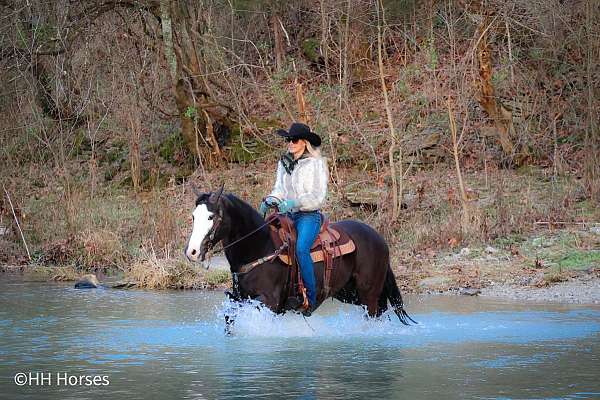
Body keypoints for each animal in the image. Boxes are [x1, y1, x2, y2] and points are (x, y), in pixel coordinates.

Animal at [185, 189, 414, 326]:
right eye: (194, 216)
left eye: (211, 217)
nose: (192, 251)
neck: (260, 247)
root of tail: (379, 239)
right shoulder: (240, 297)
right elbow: (229, 316)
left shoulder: (269, 301)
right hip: (351, 293)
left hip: (368, 294)